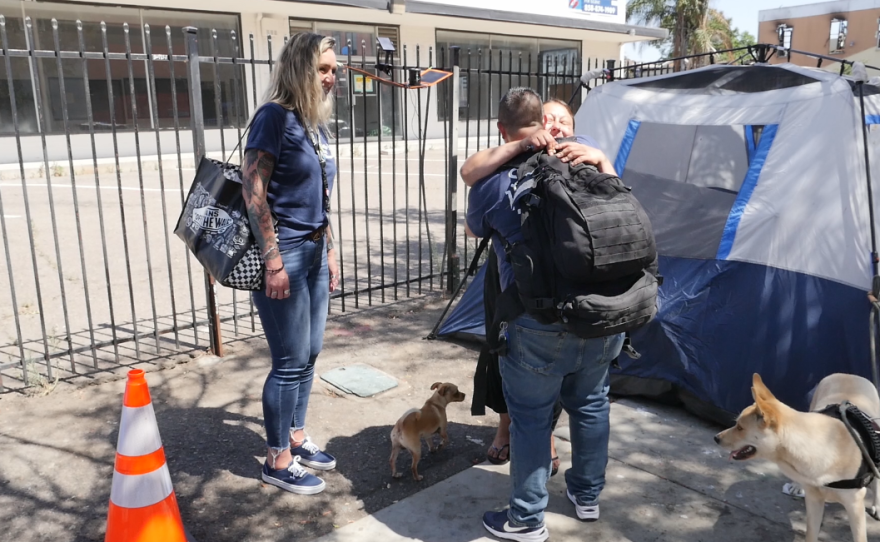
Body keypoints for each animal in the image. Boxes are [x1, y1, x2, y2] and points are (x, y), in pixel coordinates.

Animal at [716, 374, 880, 542]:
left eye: (740, 427)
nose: (716, 438)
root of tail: (847, 374)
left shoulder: (854, 506)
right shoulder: (814, 500)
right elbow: (811, 534)